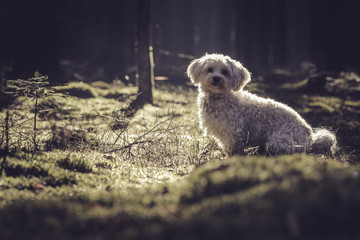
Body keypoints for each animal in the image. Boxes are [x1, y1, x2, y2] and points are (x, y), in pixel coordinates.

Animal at [187, 53, 336, 157]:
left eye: (225, 71)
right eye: (210, 69)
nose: (216, 78)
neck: (219, 98)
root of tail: (310, 138)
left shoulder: (233, 130)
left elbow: (232, 147)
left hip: (277, 142)